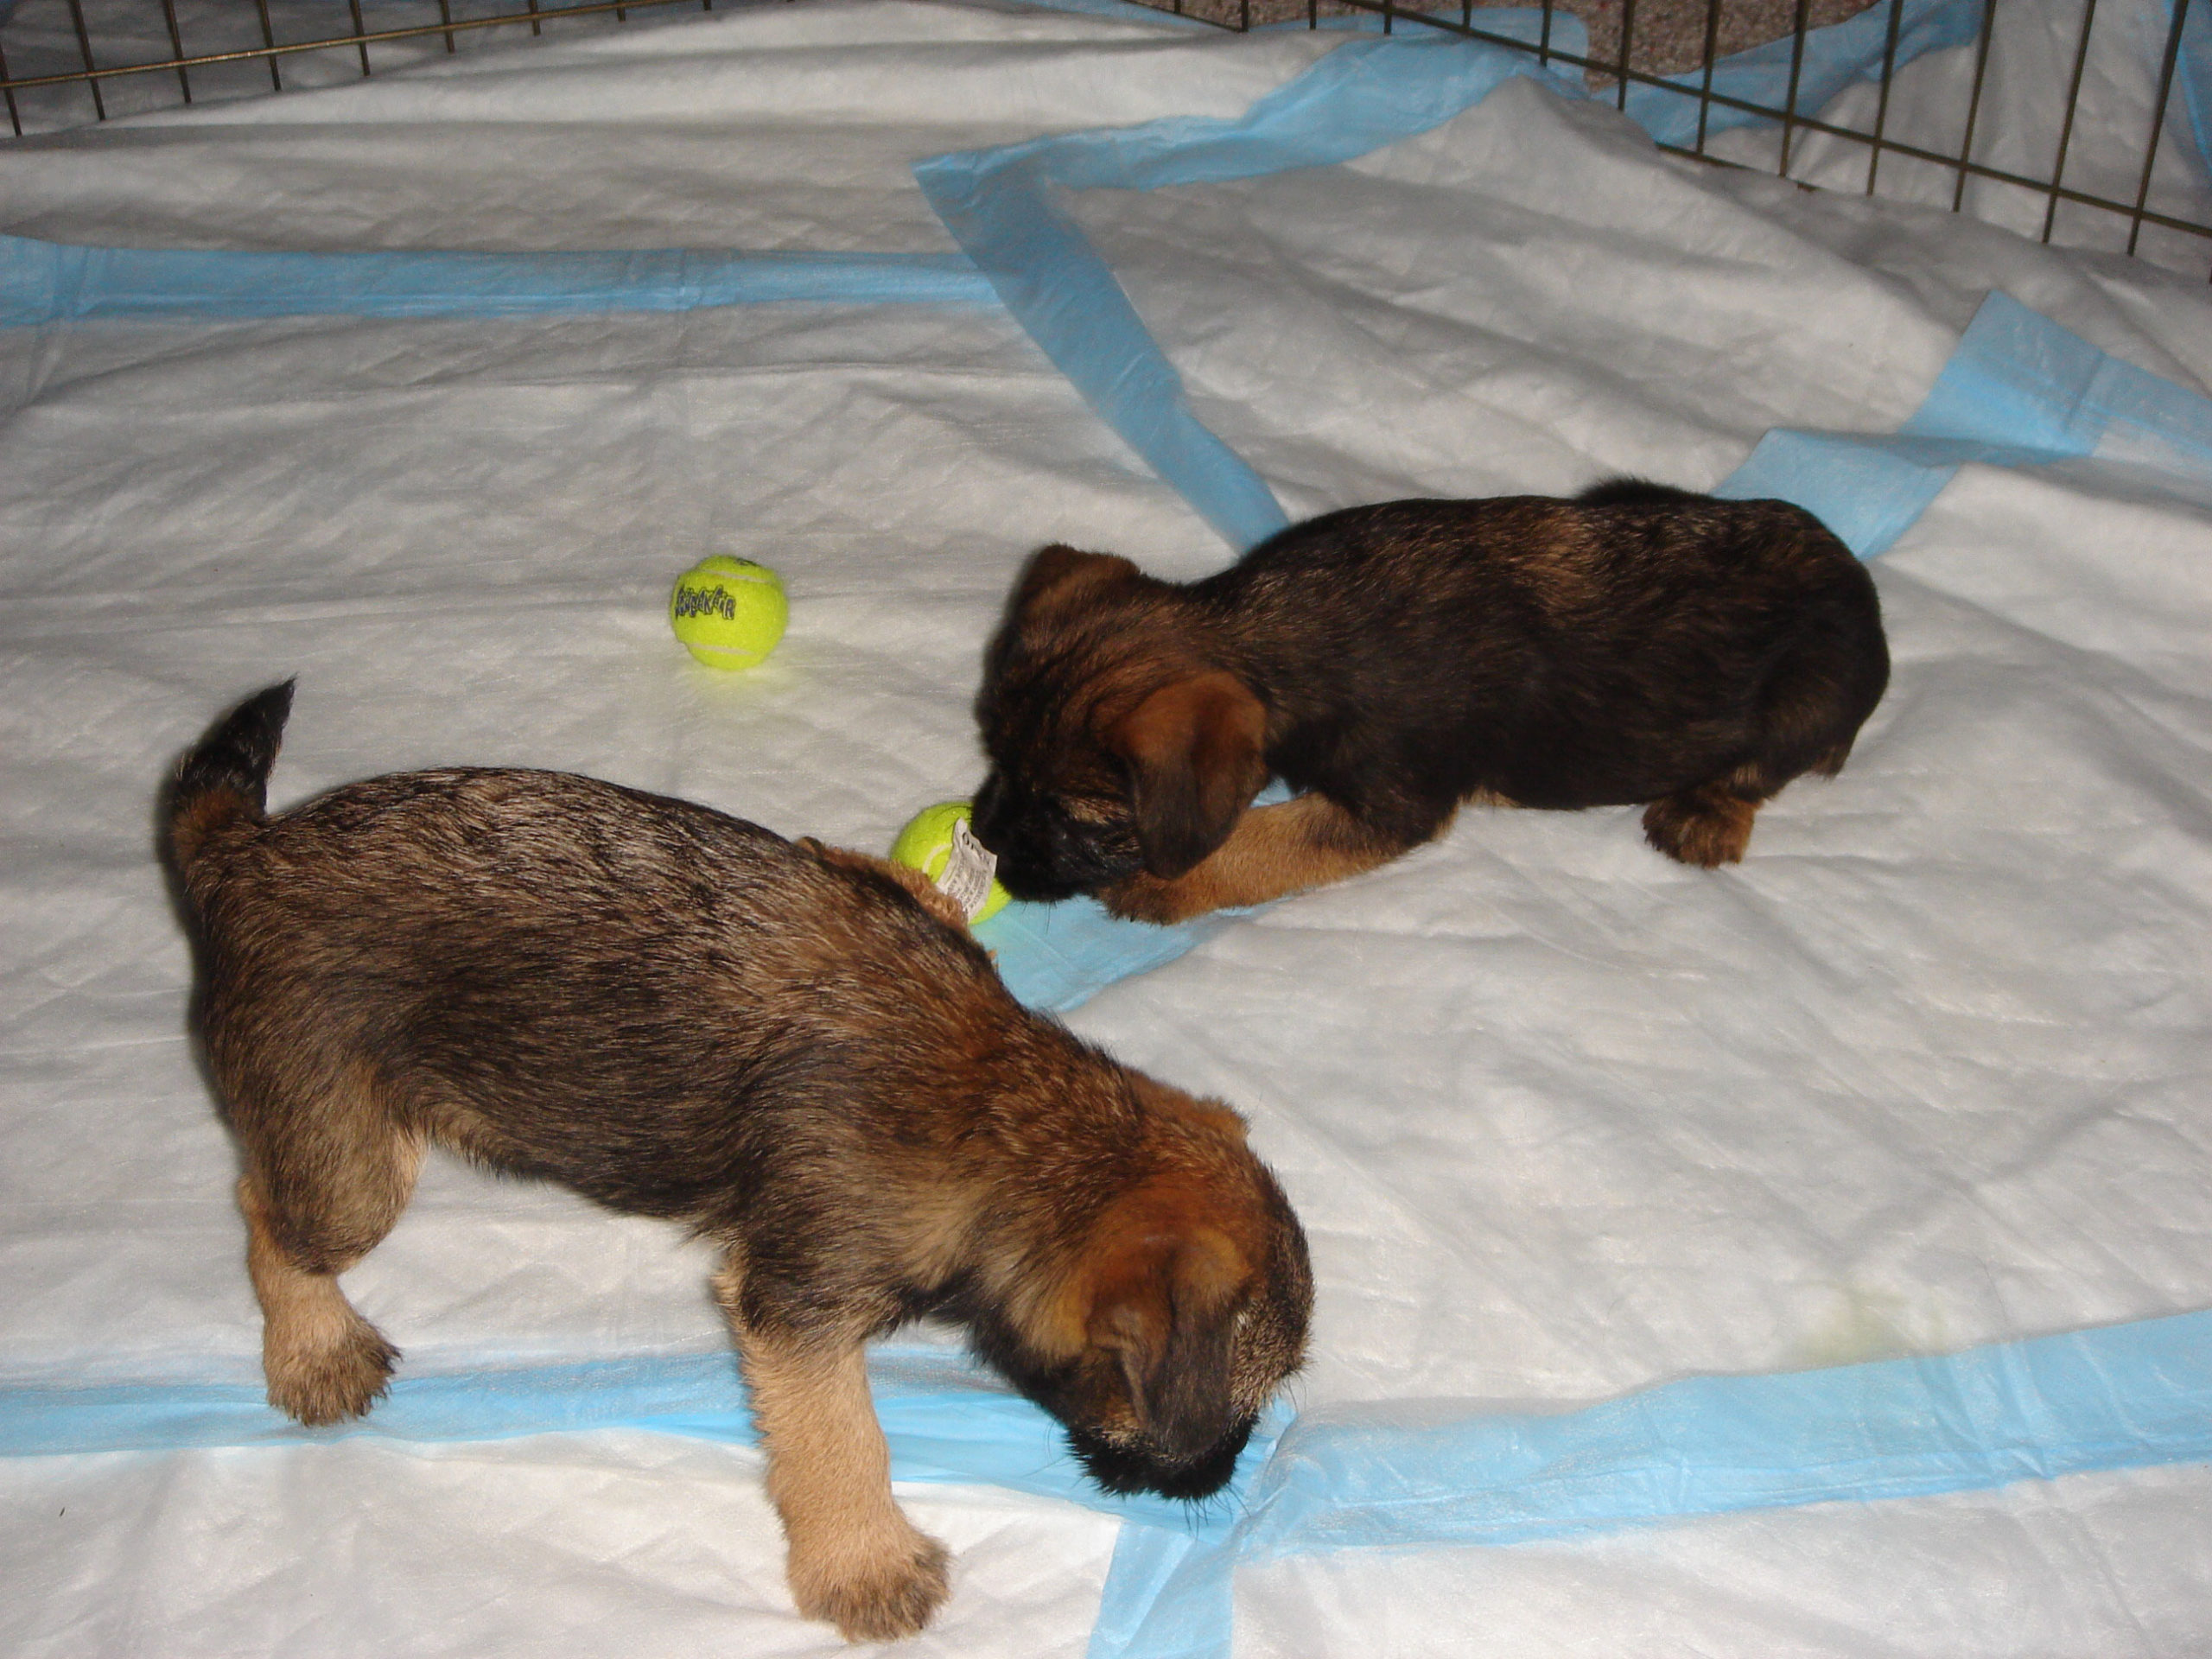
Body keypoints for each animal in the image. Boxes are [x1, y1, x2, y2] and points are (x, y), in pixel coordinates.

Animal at [172, 681, 1318, 1645]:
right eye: (1237, 1401)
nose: (1224, 1476)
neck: (1012, 1116)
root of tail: (246, 853)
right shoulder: (798, 1308)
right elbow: (840, 1438)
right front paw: (864, 1561)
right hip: (352, 1163)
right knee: (265, 1209)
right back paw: (314, 1347)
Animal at [969, 480, 1885, 929]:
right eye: (993, 757)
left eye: (1070, 819)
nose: (981, 833)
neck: (1259, 630)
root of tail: (1851, 568)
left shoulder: (1389, 804)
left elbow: (1264, 842)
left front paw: (1167, 885)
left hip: (1810, 698)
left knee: (1769, 767)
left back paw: (1706, 813)